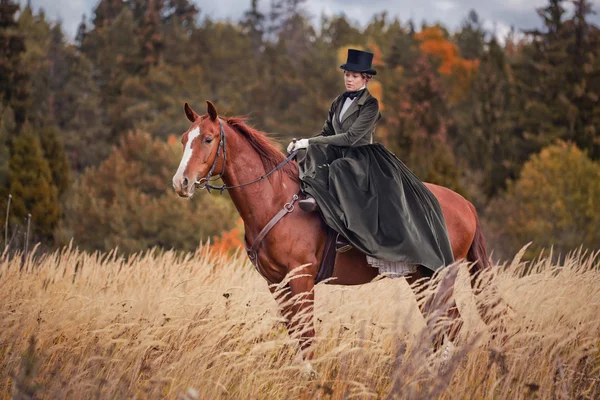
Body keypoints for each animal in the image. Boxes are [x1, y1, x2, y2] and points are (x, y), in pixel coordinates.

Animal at [171, 101, 504, 360]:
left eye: (208, 139)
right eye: (185, 138)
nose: (180, 183)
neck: (275, 199)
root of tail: (465, 203)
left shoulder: (302, 279)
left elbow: (307, 336)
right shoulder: (276, 283)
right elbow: (295, 334)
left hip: (440, 276)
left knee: (452, 325)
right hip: (420, 279)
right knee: (442, 325)